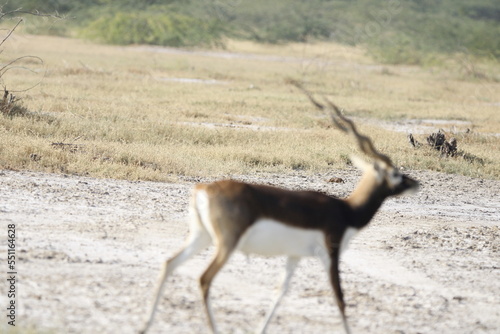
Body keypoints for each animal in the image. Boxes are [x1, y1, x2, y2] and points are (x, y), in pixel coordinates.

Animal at [140, 87, 418, 334]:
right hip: (227, 243)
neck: (346, 209)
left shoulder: (294, 256)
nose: (416, 184)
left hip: (202, 236)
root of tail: (204, 188)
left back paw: (145, 325)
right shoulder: (331, 251)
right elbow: (339, 297)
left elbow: (279, 293)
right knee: (204, 279)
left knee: (169, 264)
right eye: (395, 173)